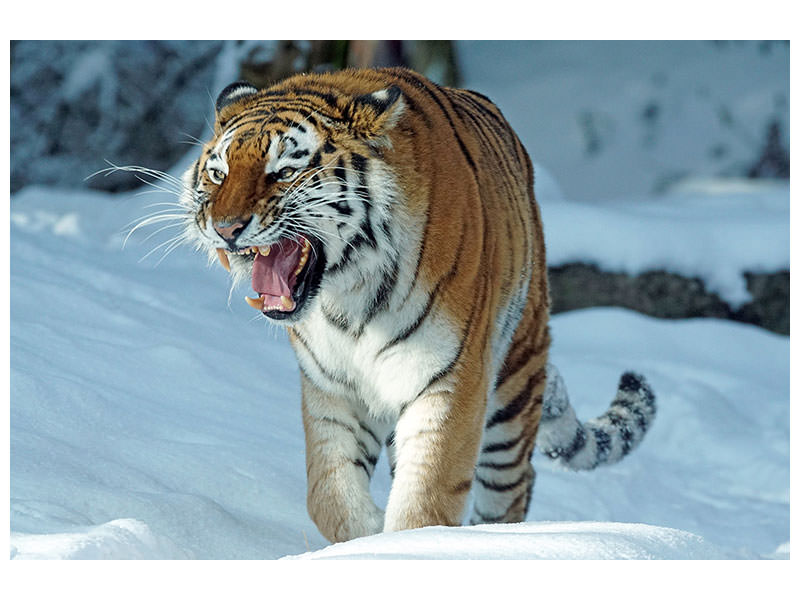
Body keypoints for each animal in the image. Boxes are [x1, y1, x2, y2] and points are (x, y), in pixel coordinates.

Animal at [178, 67, 656, 543]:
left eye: (284, 172)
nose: (225, 228)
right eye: (218, 174)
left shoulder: (450, 379)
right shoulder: (332, 387)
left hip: (515, 382)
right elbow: (328, 494)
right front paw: (368, 535)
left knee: (513, 487)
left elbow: (426, 499)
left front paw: (408, 542)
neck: (348, 296)